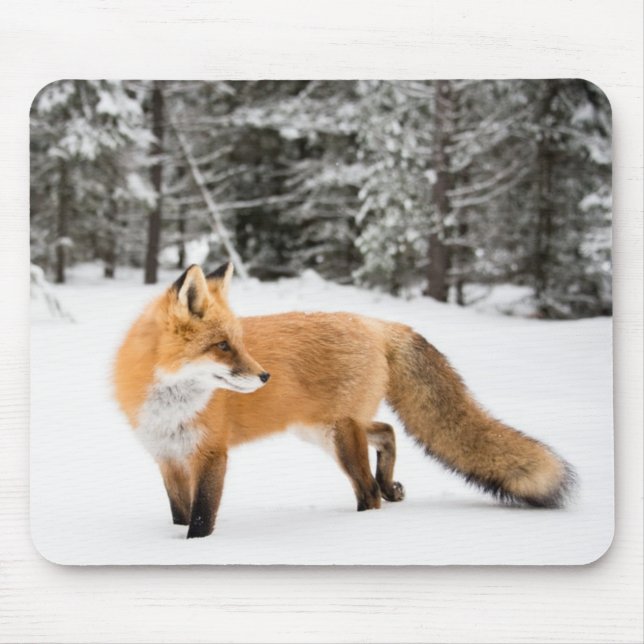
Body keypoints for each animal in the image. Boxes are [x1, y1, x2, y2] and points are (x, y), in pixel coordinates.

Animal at [114, 262, 575, 539]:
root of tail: (376, 323)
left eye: (239, 343)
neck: (170, 405)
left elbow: (201, 518)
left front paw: (195, 548)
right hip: (322, 429)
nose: (264, 376)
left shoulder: (211, 454)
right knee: (387, 431)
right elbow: (179, 513)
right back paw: (390, 486)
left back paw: (362, 522)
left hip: (338, 435)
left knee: (368, 490)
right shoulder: (168, 457)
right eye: (223, 346)